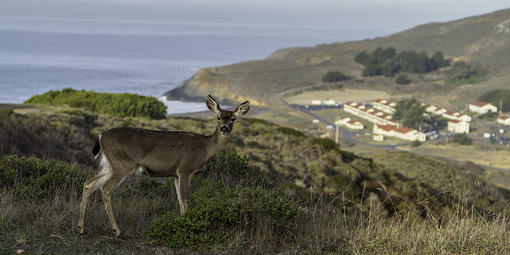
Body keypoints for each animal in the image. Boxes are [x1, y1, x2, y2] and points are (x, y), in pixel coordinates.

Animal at [77, 94, 249, 238]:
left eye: (233, 118)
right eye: (218, 117)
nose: (224, 128)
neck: (204, 149)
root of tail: (101, 136)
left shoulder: (176, 174)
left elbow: (180, 200)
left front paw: (182, 224)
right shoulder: (185, 168)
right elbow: (186, 199)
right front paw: (188, 227)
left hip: (109, 165)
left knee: (88, 184)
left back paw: (81, 228)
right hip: (121, 165)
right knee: (105, 189)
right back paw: (117, 231)